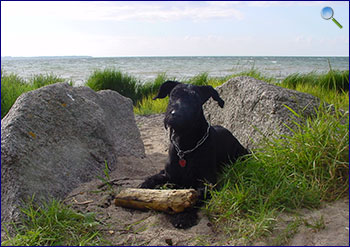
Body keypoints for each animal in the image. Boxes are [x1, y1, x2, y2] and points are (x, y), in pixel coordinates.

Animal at [140, 80, 249, 228]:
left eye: (195, 98)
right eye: (173, 94)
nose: (175, 114)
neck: (185, 145)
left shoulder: (208, 182)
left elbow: (195, 197)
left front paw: (183, 217)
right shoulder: (168, 174)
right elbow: (153, 178)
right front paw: (143, 188)